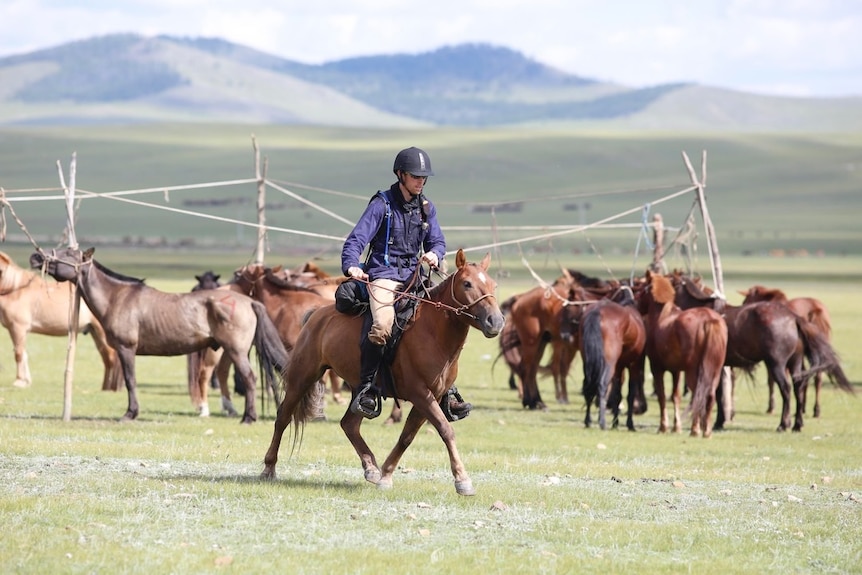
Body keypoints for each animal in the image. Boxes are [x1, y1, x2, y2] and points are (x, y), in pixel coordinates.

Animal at [0, 252, 123, 392]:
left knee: (112, 357)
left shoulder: (17, 328)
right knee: (107, 357)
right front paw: (26, 381)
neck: (16, 290)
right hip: (95, 333)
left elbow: (19, 353)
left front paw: (20, 381)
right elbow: (24, 353)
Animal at [30, 248, 288, 424]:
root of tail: (249, 301)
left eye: (68, 253)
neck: (117, 297)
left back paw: (248, 417)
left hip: (236, 351)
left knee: (250, 378)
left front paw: (130, 413)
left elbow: (130, 380)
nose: (36, 256)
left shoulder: (126, 348)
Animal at [262, 251, 506, 496]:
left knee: (349, 424)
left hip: (360, 391)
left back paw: (371, 467)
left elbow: (407, 436)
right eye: (467, 284)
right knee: (283, 417)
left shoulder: (431, 397)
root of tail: (317, 314)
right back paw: (268, 468)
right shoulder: (421, 394)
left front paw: (386, 475)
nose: (496, 321)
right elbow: (446, 430)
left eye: (493, 284)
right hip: (302, 378)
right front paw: (462, 479)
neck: (432, 333)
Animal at [636, 272, 732, 438]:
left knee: (697, 396)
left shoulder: (657, 368)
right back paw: (706, 430)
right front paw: (676, 427)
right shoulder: (676, 371)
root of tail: (710, 319)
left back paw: (695, 429)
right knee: (710, 396)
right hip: (715, 371)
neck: (662, 316)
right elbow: (676, 396)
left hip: (693, 371)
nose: (634, 303)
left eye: (642, 288)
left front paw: (663, 427)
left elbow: (662, 396)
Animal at [744, 284, 840, 416]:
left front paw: (771, 407)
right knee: (817, 377)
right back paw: (815, 409)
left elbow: (772, 381)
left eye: (747, 300)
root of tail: (815, 309)